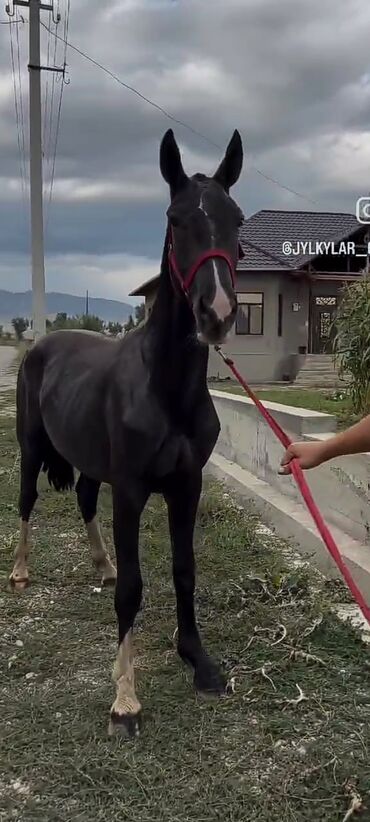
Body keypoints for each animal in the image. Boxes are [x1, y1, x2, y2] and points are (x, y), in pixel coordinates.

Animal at [10, 130, 243, 740]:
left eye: (236, 219)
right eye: (175, 219)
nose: (217, 313)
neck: (166, 388)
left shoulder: (187, 486)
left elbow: (184, 571)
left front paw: (198, 661)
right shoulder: (133, 491)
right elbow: (133, 589)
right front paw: (125, 699)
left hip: (93, 465)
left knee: (85, 499)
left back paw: (100, 563)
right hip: (30, 450)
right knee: (26, 502)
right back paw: (19, 571)